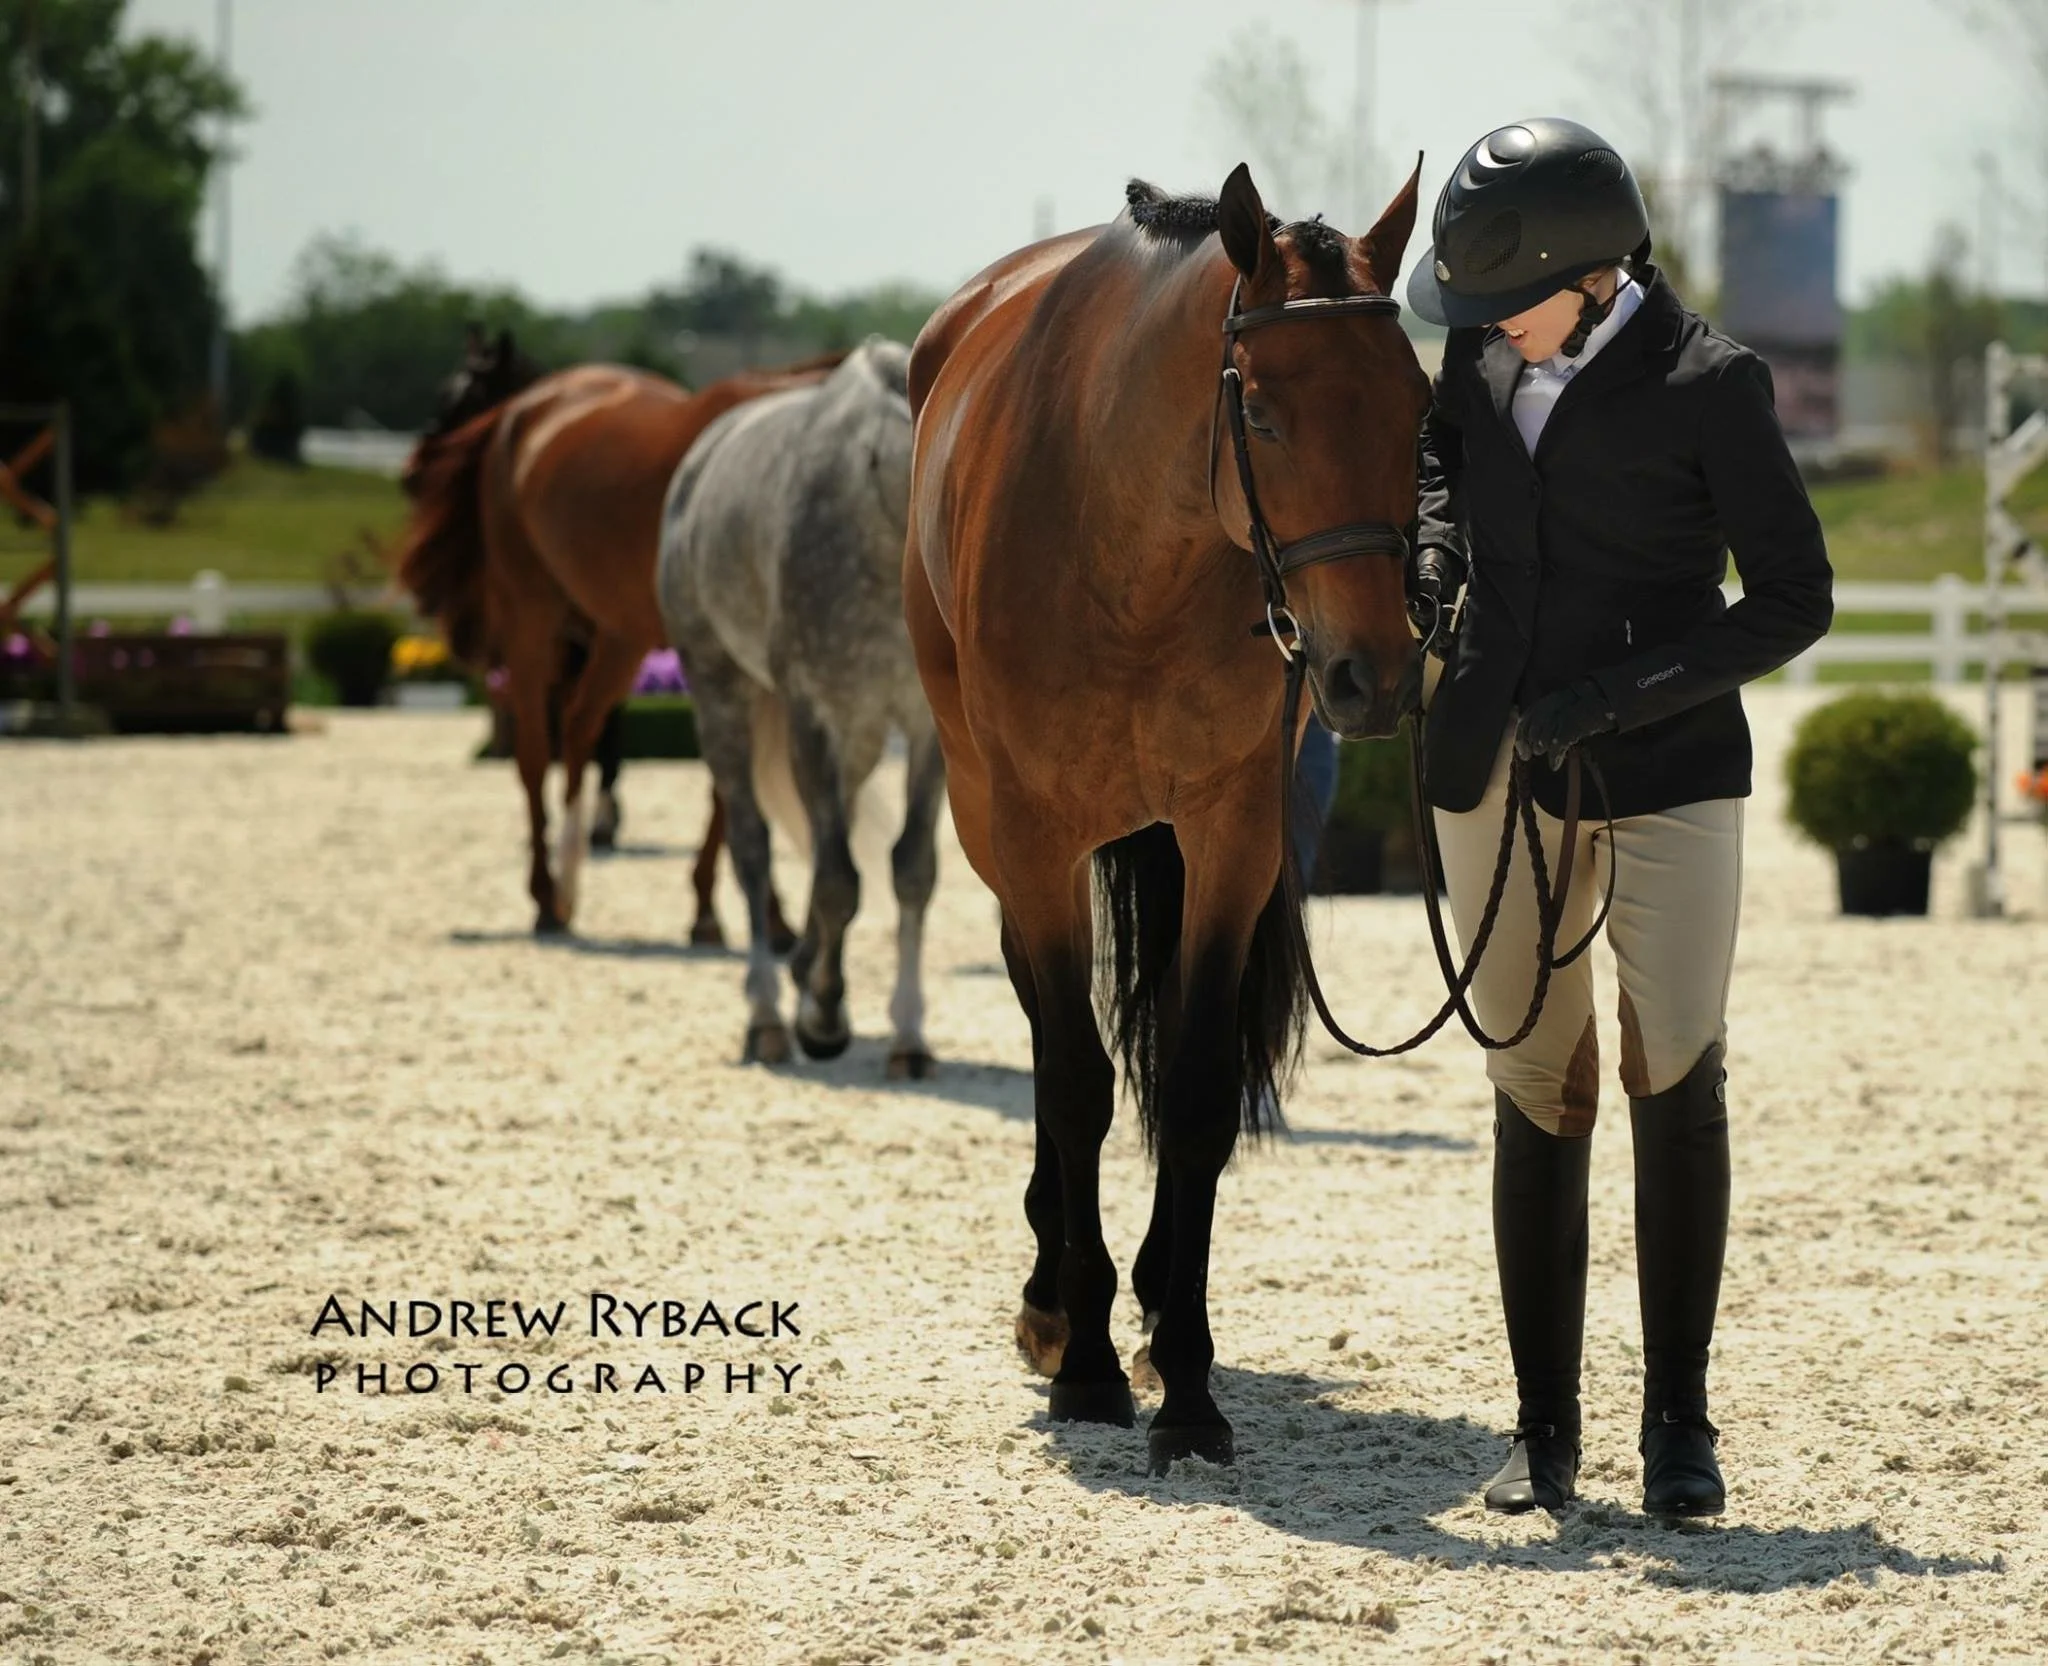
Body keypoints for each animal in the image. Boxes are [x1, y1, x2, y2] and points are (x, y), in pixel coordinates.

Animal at [395, 336, 830, 939]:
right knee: (536, 751)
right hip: (534, 619)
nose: (412, 470)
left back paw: (568, 876)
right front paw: (727, 908)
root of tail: (522, 415)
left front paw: (747, 911)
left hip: (617, 636)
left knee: (580, 724)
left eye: (461, 395)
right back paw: (548, 893)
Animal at [657, 339, 945, 1077]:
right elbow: (839, 879)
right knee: (754, 848)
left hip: (860, 732)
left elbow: (910, 869)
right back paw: (767, 1017)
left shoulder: (926, 728)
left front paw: (909, 1035)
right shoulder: (812, 713)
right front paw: (823, 1018)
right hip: (722, 696)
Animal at [904, 162, 1429, 1470]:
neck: (1130, 540)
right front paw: (1085, 1359)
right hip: (991, 829)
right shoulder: (1035, 839)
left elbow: (1190, 1094)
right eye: (1265, 414)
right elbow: (1074, 1083)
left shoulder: (1230, 839)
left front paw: (1184, 1378)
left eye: (1417, 407)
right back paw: (1054, 1300)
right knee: (1047, 1035)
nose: (1373, 675)